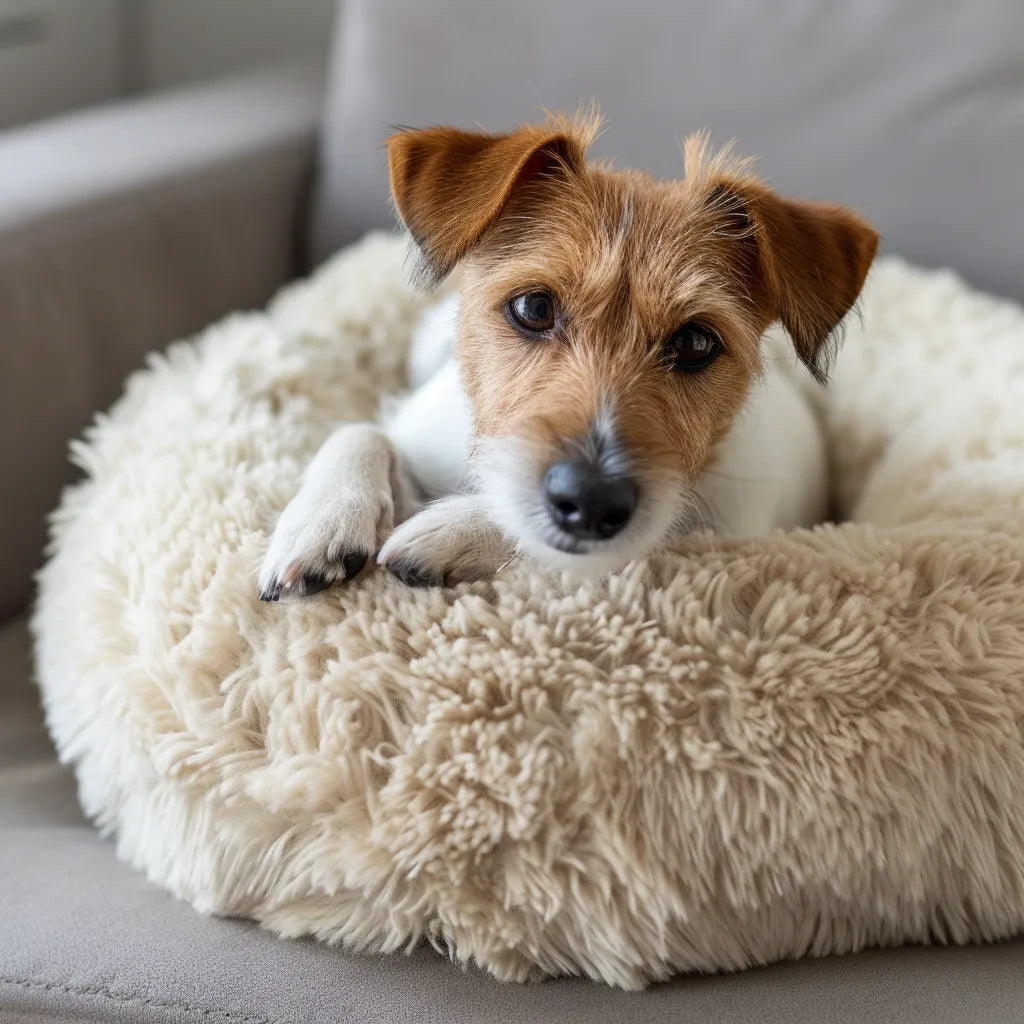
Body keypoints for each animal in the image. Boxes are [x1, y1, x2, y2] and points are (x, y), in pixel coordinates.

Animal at [260, 114, 876, 598]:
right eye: (533, 307)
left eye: (696, 343)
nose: (592, 499)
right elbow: (360, 431)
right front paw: (321, 521)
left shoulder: (715, 531)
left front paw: (455, 530)